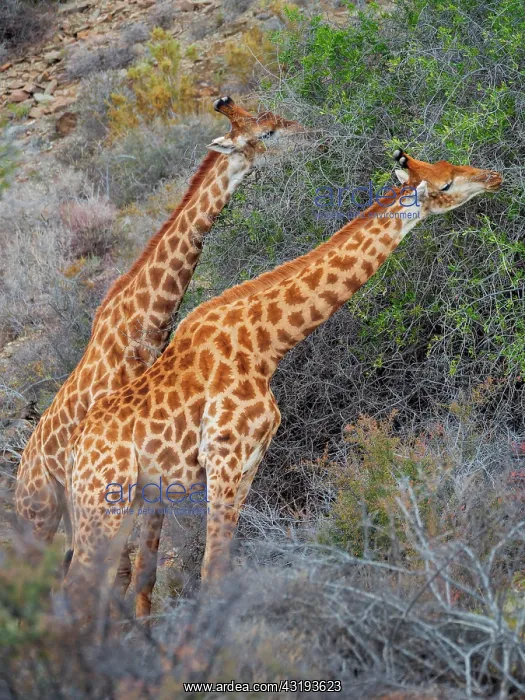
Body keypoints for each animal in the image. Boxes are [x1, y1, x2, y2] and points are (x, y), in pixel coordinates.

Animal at [63, 150, 501, 616]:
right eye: (447, 184)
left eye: (449, 166)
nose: (494, 177)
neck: (265, 347)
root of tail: (72, 452)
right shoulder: (224, 456)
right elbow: (211, 571)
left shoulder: (250, 462)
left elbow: (221, 566)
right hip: (102, 501)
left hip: (121, 503)